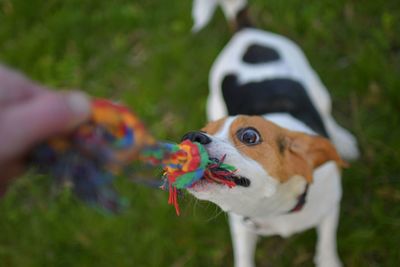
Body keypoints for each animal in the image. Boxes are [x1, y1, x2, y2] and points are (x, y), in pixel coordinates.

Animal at [180, 0, 360, 267]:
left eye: (249, 136)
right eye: (204, 130)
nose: (192, 137)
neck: (275, 207)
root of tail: (247, 33)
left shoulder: (330, 206)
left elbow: (326, 243)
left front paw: (328, 261)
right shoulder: (242, 226)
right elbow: (244, 256)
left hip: (317, 88)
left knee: (327, 114)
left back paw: (342, 140)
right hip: (213, 100)